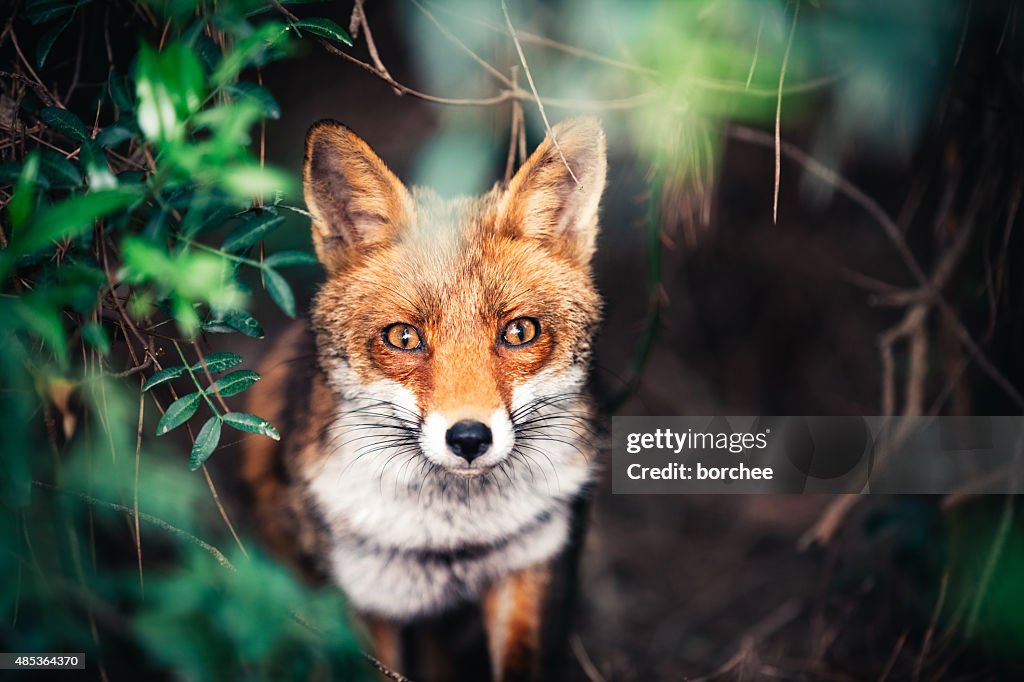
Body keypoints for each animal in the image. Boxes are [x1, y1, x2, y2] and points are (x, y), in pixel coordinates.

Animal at [240, 116, 602, 679]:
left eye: (519, 332)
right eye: (404, 337)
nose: (469, 438)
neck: (452, 540)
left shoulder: (523, 568)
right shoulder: (366, 601)